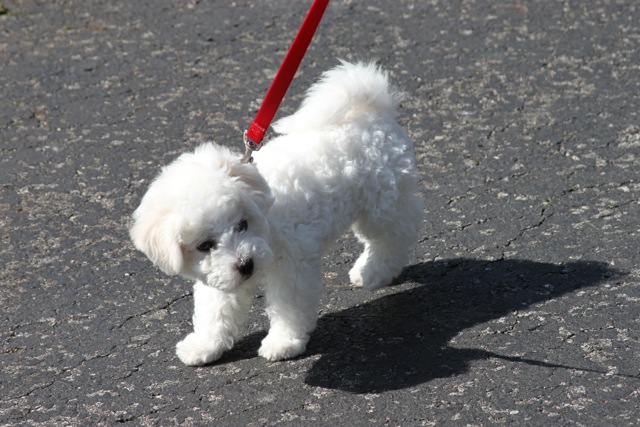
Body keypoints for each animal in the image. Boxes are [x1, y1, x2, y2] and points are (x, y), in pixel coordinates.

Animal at [130, 61, 422, 368]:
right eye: (204, 245)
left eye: (242, 224)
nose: (246, 264)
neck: (266, 219)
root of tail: (372, 112)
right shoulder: (220, 275)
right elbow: (215, 310)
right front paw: (204, 345)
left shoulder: (291, 266)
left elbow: (288, 306)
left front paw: (283, 342)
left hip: (383, 203)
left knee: (393, 237)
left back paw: (374, 272)